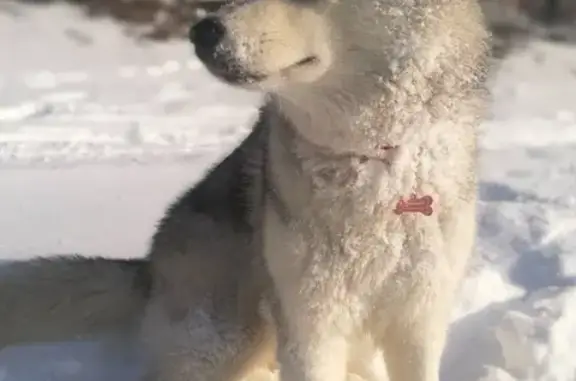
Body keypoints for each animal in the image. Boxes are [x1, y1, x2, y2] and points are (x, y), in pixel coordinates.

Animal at [0, 0, 490, 380]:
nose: (202, 31)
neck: (374, 161)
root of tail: (148, 269)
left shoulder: (420, 319)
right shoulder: (310, 325)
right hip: (230, 337)